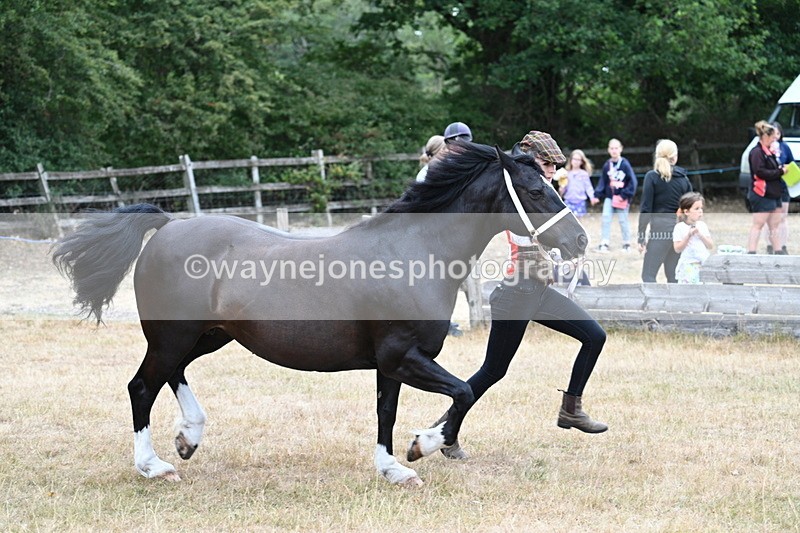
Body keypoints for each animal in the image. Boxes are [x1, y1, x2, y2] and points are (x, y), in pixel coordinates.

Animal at [52, 143, 588, 487]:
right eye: (535, 191)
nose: (579, 240)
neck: (414, 253)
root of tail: (166, 228)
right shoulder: (403, 356)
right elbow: (463, 391)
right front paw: (423, 444)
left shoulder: (391, 362)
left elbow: (387, 412)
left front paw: (393, 468)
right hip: (172, 336)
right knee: (142, 386)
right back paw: (155, 466)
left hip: (208, 335)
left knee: (171, 375)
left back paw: (188, 436)